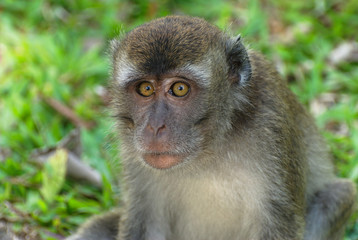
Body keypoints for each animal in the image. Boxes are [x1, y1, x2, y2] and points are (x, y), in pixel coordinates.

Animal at [66, 15, 356, 239]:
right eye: (145, 89)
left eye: (179, 89)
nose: (155, 128)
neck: (209, 148)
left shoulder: (272, 127)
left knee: (336, 196)